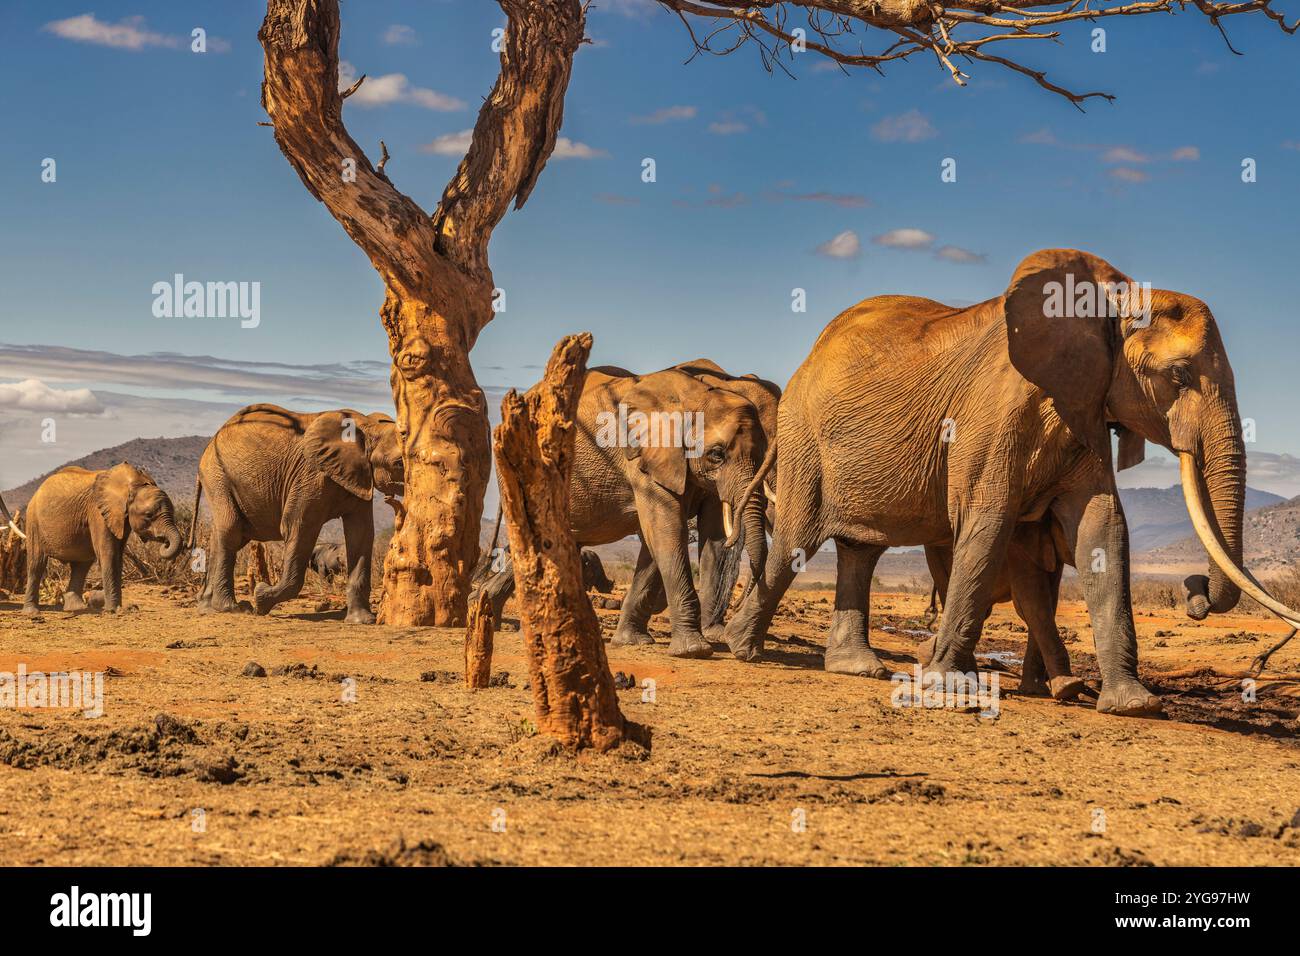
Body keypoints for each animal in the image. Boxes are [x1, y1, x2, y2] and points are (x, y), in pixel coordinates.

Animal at [20, 463, 183, 613]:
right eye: (149, 515)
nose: (164, 542)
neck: (132, 485)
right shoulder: (97, 511)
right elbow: (109, 554)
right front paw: (113, 610)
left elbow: (117, 556)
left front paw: (120, 608)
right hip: (33, 521)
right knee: (36, 563)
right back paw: (32, 612)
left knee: (81, 565)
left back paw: (78, 608)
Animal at [188, 408, 400, 624]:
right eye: (399, 463)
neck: (367, 425)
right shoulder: (310, 476)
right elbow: (298, 527)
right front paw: (260, 597)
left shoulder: (360, 480)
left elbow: (361, 534)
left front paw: (362, 621)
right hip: (217, 476)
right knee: (231, 532)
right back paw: (233, 609)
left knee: (222, 538)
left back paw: (208, 609)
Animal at [728, 251, 1300, 712]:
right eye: (1178, 376)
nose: (1192, 591)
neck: (1108, 300)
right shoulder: (990, 416)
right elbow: (986, 524)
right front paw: (946, 686)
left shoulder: (1083, 408)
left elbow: (1103, 529)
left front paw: (1134, 705)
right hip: (805, 437)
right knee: (799, 539)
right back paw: (741, 648)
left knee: (860, 550)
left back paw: (856, 668)